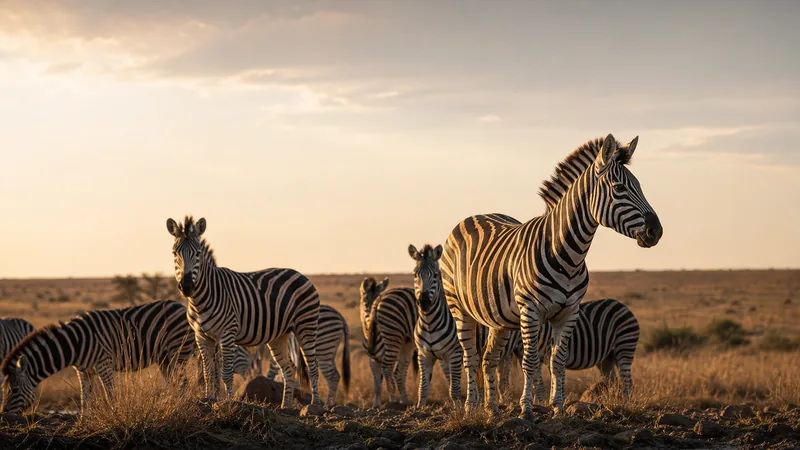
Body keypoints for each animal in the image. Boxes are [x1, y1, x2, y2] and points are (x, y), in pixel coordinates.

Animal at [0, 300, 195, 414]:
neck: (76, 344)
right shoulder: (83, 371)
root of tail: (180, 305)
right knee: (175, 383)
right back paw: (172, 408)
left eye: (13, 390)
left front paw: (116, 419)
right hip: (164, 358)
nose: (3, 414)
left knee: (184, 383)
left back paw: (182, 409)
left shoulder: (104, 364)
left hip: (178, 352)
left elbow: (110, 395)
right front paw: (81, 425)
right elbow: (84, 399)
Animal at [166, 216, 322, 407]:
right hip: (280, 335)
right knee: (289, 369)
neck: (200, 300)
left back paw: (315, 404)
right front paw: (208, 399)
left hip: (306, 326)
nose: (187, 286)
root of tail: (300, 274)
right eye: (175, 253)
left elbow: (226, 373)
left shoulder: (227, 334)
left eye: (198, 254)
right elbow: (208, 372)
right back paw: (285, 406)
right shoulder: (201, 336)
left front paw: (228, 402)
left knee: (313, 366)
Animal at [360, 277, 418, 408]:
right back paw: (404, 401)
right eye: (365, 302)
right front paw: (376, 406)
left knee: (398, 373)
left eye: (377, 298)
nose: (372, 321)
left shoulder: (386, 355)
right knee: (399, 373)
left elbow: (388, 379)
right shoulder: (372, 359)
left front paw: (392, 402)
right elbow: (377, 385)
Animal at [407, 244, 462, 407]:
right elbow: (423, 387)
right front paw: (419, 410)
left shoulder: (455, 353)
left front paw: (461, 411)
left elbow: (454, 390)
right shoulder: (424, 355)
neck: (430, 323)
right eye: (415, 275)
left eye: (436, 275)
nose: (423, 301)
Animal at [440, 134, 662, 418]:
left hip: (499, 319)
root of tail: (473, 216)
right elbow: (531, 361)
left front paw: (558, 408)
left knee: (489, 358)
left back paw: (493, 410)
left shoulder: (569, 312)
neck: (568, 254)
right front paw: (526, 409)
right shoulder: (531, 311)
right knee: (471, 357)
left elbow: (558, 360)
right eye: (619, 188)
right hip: (459, 307)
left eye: (639, 186)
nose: (656, 231)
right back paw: (471, 407)